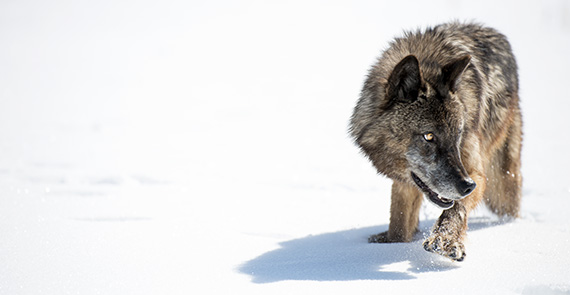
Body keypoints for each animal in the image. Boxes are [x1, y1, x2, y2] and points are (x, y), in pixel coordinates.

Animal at [346, 22, 520, 264]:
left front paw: (445, 240)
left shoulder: (475, 172)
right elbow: (398, 225)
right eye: (429, 136)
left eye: (458, 134)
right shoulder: (403, 183)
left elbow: (457, 207)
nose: (467, 186)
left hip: (502, 185)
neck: (427, 64)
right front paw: (392, 244)